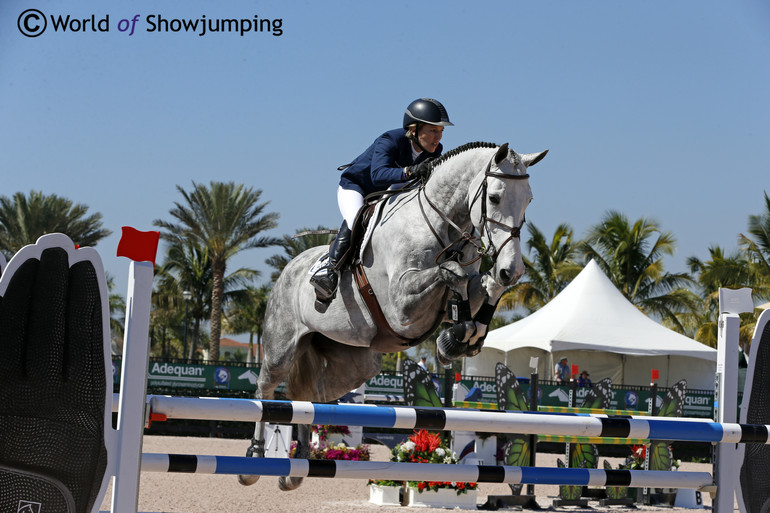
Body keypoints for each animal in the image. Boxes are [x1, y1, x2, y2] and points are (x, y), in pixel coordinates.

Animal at [240, 140, 544, 488]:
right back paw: (253, 459)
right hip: (282, 348)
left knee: (308, 395)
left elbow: (484, 285)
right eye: (494, 197)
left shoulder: (459, 291)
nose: (513, 270)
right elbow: (451, 272)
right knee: (265, 390)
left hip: (354, 365)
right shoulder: (402, 306)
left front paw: (463, 337)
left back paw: (297, 466)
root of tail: (290, 267)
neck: (439, 225)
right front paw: (456, 337)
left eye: (528, 199)